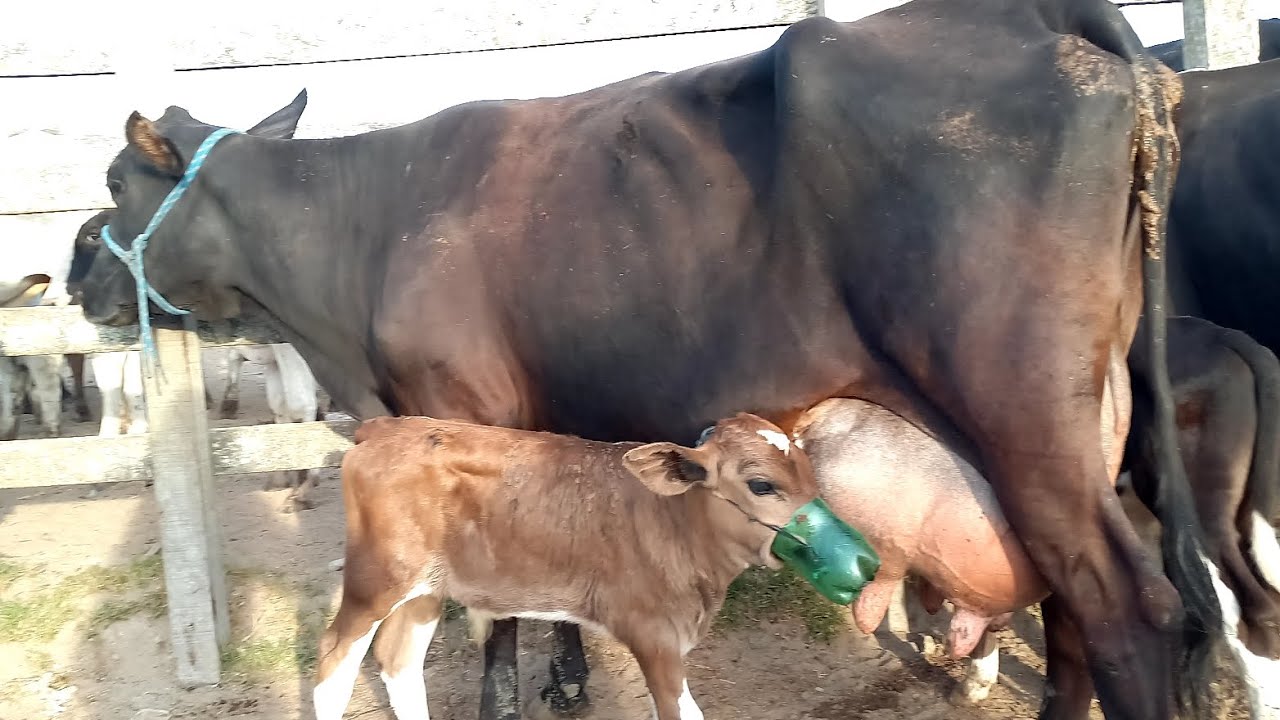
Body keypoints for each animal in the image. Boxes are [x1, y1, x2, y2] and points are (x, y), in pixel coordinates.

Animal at [315, 412, 875, 720]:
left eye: (811, 475)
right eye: (762, 485)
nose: (865, 560)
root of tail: (383, 428)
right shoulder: (653, 635)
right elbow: (683, 712)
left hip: (427, 588)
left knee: (398, 661)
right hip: (375, 579)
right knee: (333, 663)